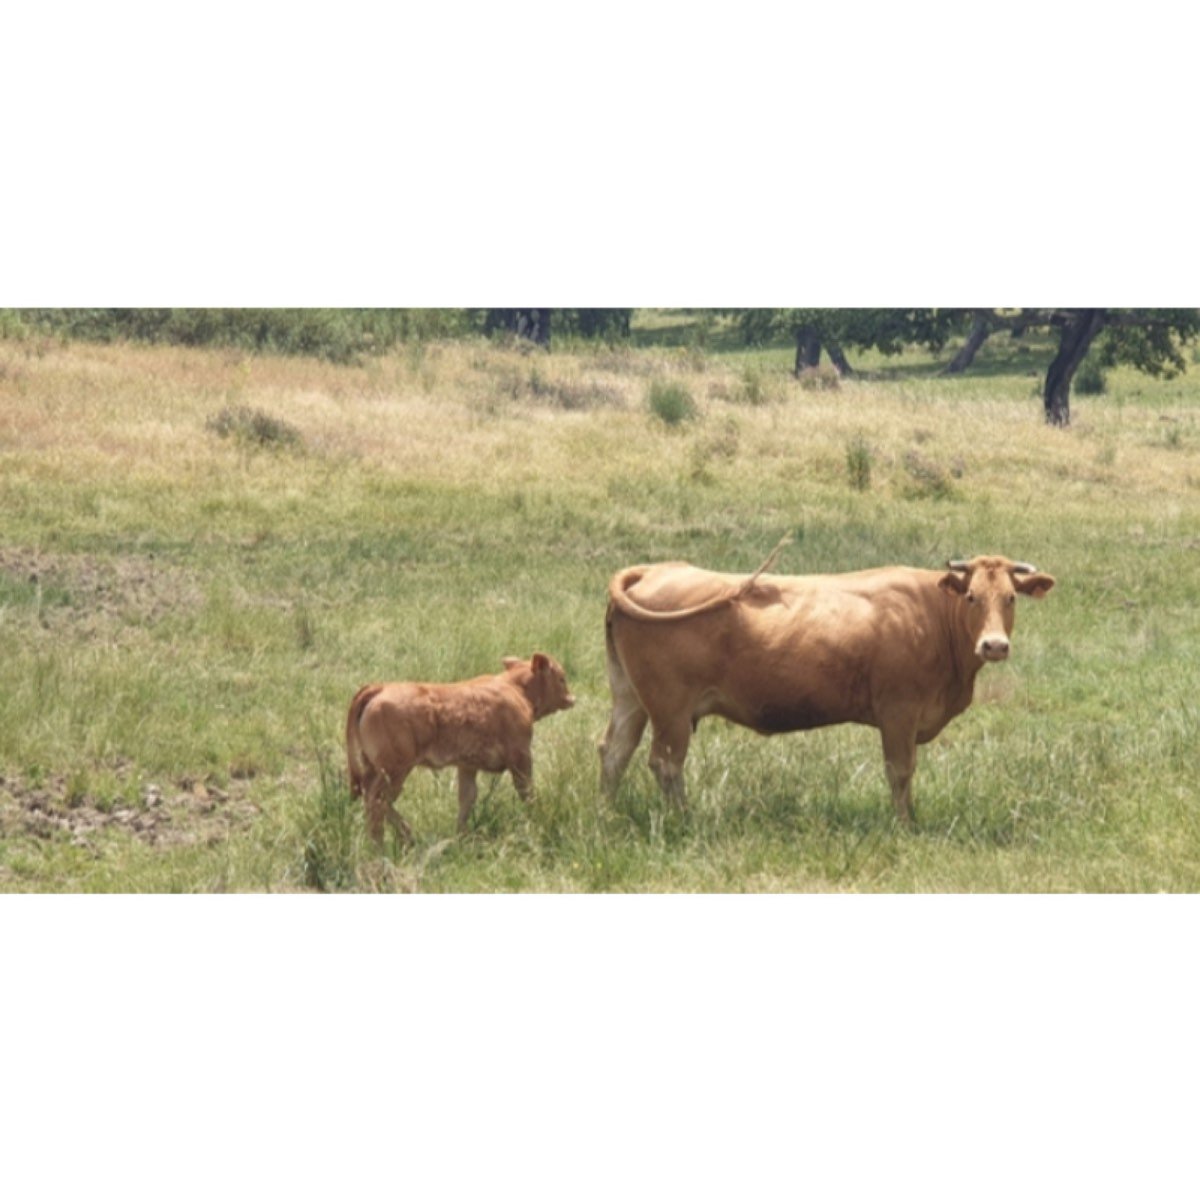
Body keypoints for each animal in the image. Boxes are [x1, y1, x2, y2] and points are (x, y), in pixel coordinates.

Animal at [346, 653, 575, 846]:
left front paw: (461, 837)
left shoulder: (467, 766)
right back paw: (382, 847)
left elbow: (467, 798)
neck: (516, 689)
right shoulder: (521, 758)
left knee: (373, 800)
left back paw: (405, 837)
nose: (571, 699)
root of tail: (380, 688)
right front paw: (538, 819)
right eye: (561, 678)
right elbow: (526, 792)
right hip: (395, 771)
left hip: (376, 769)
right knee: (378, 802)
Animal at [599, 554, 1054, 824]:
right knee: (664, 763)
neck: (934, 614)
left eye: (1011, 597)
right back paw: (685, 819)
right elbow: (900, 770)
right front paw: (904, 825)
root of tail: (655, 569)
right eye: (972, 596)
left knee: (615, 751)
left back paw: (607, 815)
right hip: (670, 710)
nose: (994, 645)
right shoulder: (899, 710)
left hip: (631, 699)